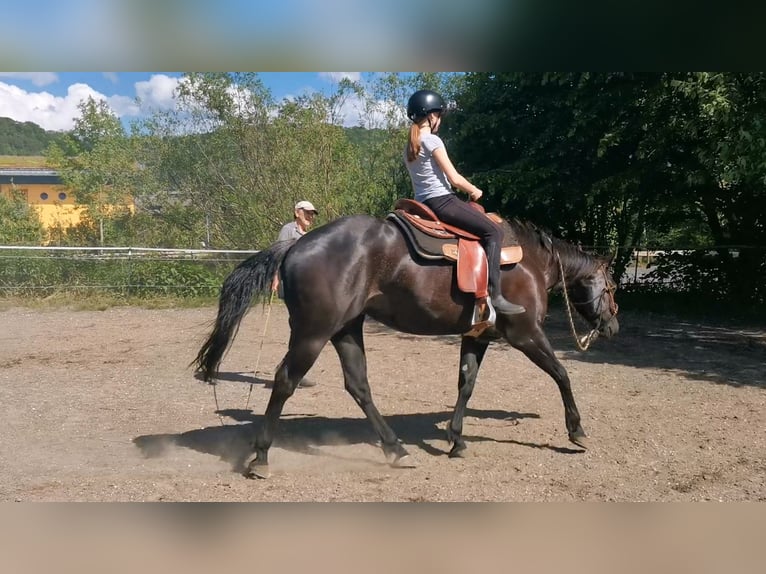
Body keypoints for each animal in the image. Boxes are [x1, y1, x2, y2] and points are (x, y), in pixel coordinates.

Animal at [195, 209, 620, 480]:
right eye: (612, 286)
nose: (613, 326)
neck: (528, 261)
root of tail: (295, 247)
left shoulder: (477, 335)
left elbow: (466, 383)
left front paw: (456, 439)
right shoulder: (526, 333)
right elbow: (562, 374)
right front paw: (576, 431)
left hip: (346, 329)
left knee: (358, 385)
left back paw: (395, 448)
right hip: (313, 334)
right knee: (285, 381)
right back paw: (261, 456)